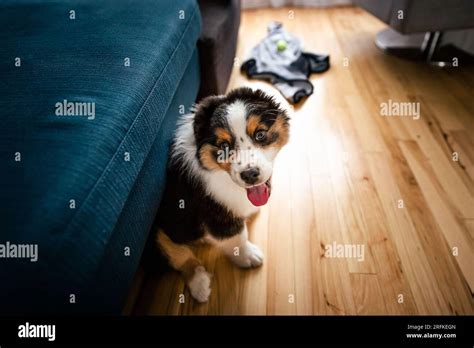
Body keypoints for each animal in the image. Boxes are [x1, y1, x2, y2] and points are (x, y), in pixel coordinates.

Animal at [156, 87, 288, 302]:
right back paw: (200, 286)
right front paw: (248, 257)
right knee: (180, 256)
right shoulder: (216, 213)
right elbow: (236, 237)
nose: (250, 175)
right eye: (224, 146)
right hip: (161, 232)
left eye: (260, 134)